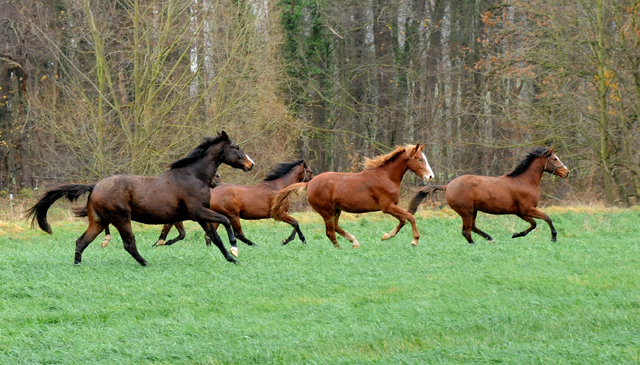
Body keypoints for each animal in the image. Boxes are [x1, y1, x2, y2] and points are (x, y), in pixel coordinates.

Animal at [25, 131, 255, 264]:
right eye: (236, 147)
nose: (250, 164)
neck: (193, 176)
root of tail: (95, 185)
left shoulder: (200, 215)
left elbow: (215, 238)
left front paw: (231, 258)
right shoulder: (197, 212)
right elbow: (225, 221)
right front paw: (235, 247)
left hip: (99, 221)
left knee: (81, 242)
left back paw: (78, 265)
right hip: (120, 218)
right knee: (129, 244)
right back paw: (145, 262)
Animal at [152, 159, 312, 256]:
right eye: (309, 171)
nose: (310, 183)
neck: (280, 187)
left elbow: (295, 224)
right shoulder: (280, 214)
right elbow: (296, 223)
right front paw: (295, 240)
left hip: (217, 217)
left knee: (209, 235)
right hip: (233, 216)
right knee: (239, 234)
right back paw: (253, 246)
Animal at [270, 144, 436, 249]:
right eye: (420, 159)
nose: (430, 176)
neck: (386, 176)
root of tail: (309, 183)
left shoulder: (391, 207)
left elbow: (403, 220)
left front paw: (385, 236)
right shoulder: (387, 207)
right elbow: (410, 217)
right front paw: (414, 241)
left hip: (336, 210)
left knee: (335, 228)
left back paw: (354, 242)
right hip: (327, 211)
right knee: (330, 232)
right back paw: (341, 249)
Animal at [408, 146, 568, 243]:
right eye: (554, 159)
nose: (566, 172)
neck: (524, 181)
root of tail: (448, 186)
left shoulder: (521, 212)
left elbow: (533, 224)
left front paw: (516, 234)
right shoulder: (528, 209)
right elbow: (547, 218)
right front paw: (554, 237)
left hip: (473, 211)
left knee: (472, 228)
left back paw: (489, 238)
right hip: (466, 211)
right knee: (467, 232)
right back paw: (477, 243)